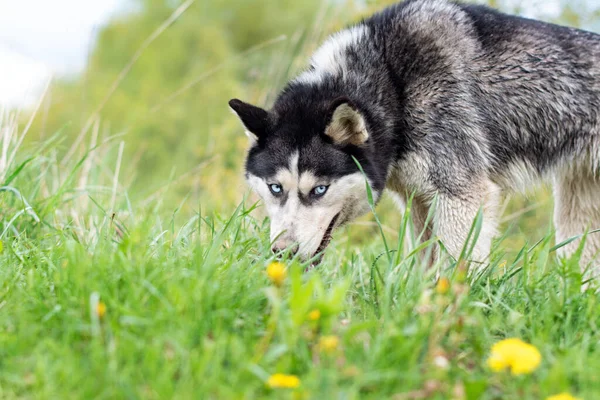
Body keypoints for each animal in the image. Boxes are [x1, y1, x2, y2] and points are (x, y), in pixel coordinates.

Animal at [227, 0, 596, 276]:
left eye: (319, 190)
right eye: (276, 188)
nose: (282, 252)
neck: (393, 81)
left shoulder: (462, 197)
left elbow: (454, 270)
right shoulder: (419, 201)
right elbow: (424, 265)